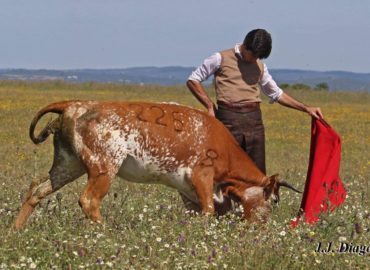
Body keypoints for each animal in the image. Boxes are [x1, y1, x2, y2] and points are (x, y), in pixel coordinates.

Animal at [13, 100, 300, 229]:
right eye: (274, 201)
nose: (260, 229)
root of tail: (74, 105)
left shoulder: (187, 191)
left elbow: (198, 211)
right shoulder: (202, 176)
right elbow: (208, 209)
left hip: (68, 164)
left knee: (37, 189)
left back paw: (17, 229)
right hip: (104, 167)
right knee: (89, 200)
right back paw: (104, 231)